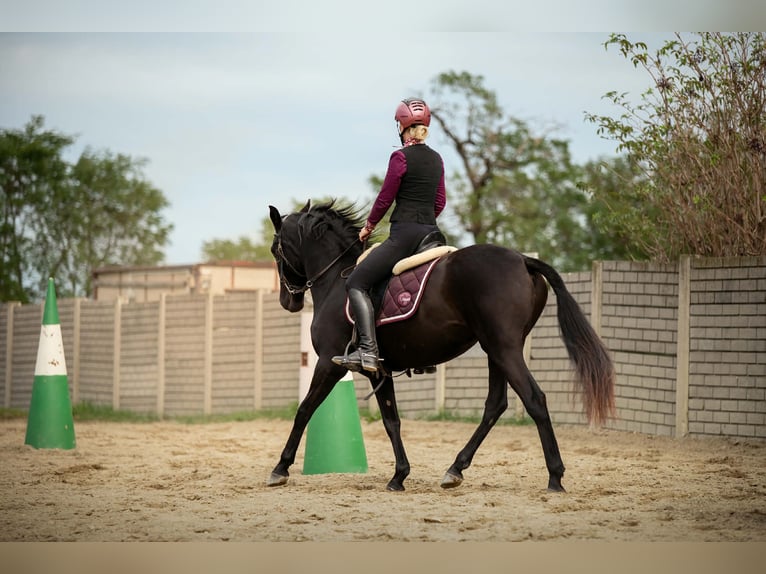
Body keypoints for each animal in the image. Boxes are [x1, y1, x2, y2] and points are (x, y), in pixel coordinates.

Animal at [267, 200, 615, 492]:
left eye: (275, 249)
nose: (288, 301)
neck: (337, 282)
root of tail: (523, 260)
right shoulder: (379, 371)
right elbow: (391, 421)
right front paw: (399, 475)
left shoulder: (329, 362)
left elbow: (305, 409)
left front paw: (280, 469)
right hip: (496, 351)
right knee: (495, 405)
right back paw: (455, 470)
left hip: (504, 349)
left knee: (534, 399)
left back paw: (555, 477)